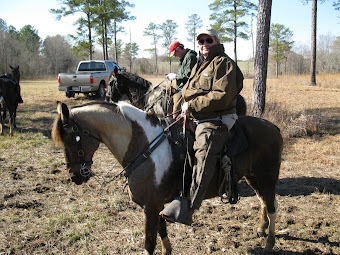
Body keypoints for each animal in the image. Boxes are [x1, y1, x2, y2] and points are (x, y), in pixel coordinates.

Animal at [51, 100, 282, 254]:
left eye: (70, 139)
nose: (74, 176)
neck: (144, 145)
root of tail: (273, 127)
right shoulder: (156, 205)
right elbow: (162, 231)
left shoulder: (150, 207)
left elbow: (149, 243)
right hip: (253, 177)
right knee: (263, 202)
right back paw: (261, 230)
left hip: (267, 178)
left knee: (272, 206)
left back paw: (269, 243)